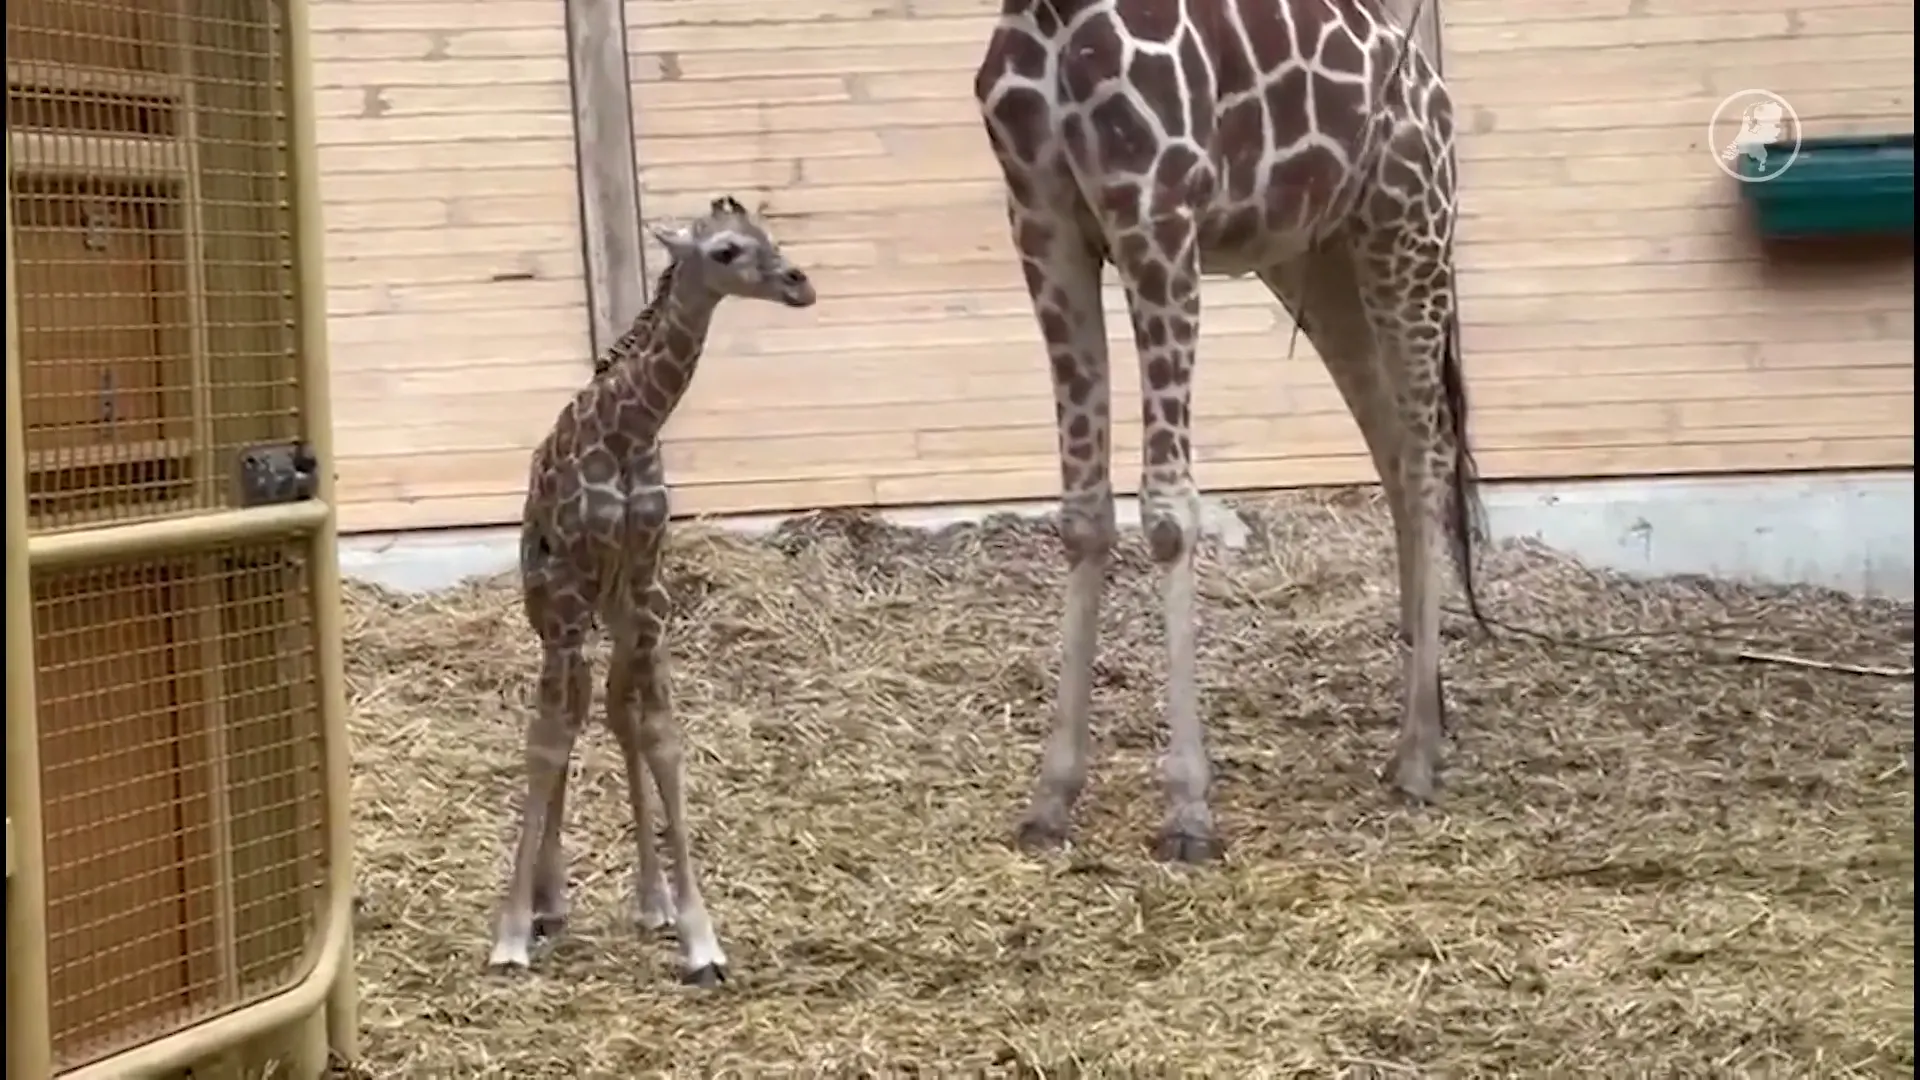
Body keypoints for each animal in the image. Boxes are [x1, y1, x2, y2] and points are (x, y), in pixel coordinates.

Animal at [487, 195, 817, 983]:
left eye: (768, 235)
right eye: (726, 250)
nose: (800, 283)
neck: (630, 428)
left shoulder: (645, 587)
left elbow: (660, 734)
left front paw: (699, 937)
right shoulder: (571, 590)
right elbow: (545, 741)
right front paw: (510, 933)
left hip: (614, 612)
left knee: (607, 711)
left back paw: (645, 901)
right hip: (552, 608)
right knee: (566, 716)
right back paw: (547, 904)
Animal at [972, 0, 1485, 862]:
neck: (1051, 13)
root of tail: (1431, 83)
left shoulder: (1157, 215)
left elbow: (1169, 513)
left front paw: (1188, 809)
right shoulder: (1041, 219)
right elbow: (1082, 514)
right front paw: (1051, 796)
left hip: (1406, 228)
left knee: (1425, 456)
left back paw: (1417, 756)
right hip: (1318, 260)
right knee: (1389, 445)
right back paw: (1425, 727)